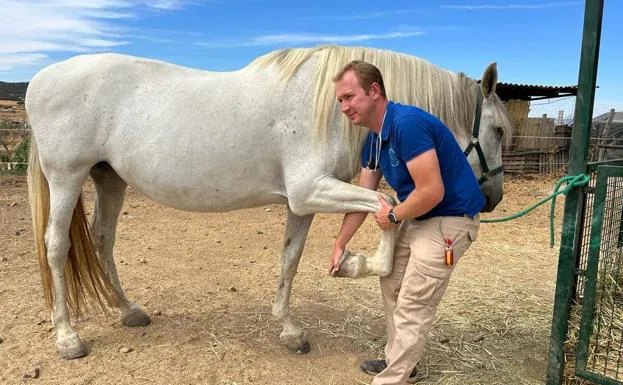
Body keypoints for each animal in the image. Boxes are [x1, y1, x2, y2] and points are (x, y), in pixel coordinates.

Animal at [25, 44, 512, 356]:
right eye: (499, 129)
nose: (492, 198)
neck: (328, 105)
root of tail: (40, 79)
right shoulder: (311, 188)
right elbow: (384, 205)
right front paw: (356, 264)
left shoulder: (304, 202)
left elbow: (290, 259)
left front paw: (290, 330)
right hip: (67, 177)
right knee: (57, 246)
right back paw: (68, 338)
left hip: (110, 180)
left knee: (102, 240)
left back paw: (128, 311)